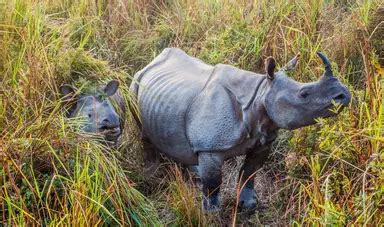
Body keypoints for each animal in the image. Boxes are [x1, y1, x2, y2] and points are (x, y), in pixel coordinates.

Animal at [131, 48, 352, 211]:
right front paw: (211, 212)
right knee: (143, 133)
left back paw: (194, 172)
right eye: (304, 94)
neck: (260, 95)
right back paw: (152, 174)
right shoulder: (211, 147)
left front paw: (249, 204)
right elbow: (214, 182)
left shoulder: (264, 140)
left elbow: (249, 172)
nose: (343, 94)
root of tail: (152, 61)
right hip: (134, 84)